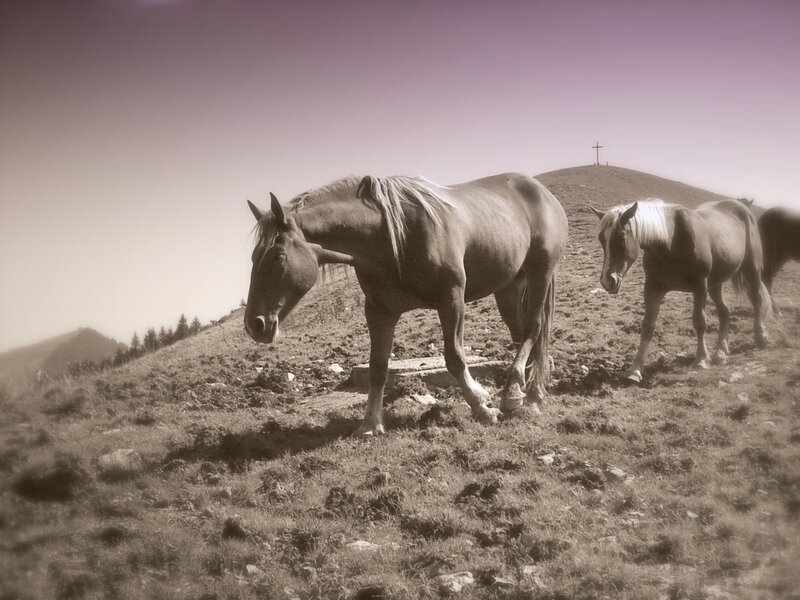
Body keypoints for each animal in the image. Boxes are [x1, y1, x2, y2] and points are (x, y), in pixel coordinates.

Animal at [245, 172, 568, 436]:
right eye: (253, 258)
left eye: (278, 257)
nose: (254, 325)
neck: (393, 239)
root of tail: (541, 190)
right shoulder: (379, 311)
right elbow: (378, 367)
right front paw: (370, 424)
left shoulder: (451, 299)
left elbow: (454, 357)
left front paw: (481, 406)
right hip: (510, 286)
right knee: (522, 334)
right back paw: (525, 390)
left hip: (540, 273)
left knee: (534, 328)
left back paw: (522, 395)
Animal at [591, 198, 771, 383]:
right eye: (601, 239)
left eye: (621, 236)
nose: (608, 281)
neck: (670, 241)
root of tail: (742, 206)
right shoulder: (653, 288)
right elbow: (647, 327)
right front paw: (635, 369)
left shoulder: (700, 287)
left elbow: (699, 322)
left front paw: (701, 359)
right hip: (716, 283)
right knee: (724, 311)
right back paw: (721, 352)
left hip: (751, 270)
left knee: (757, 300)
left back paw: (761, 337)